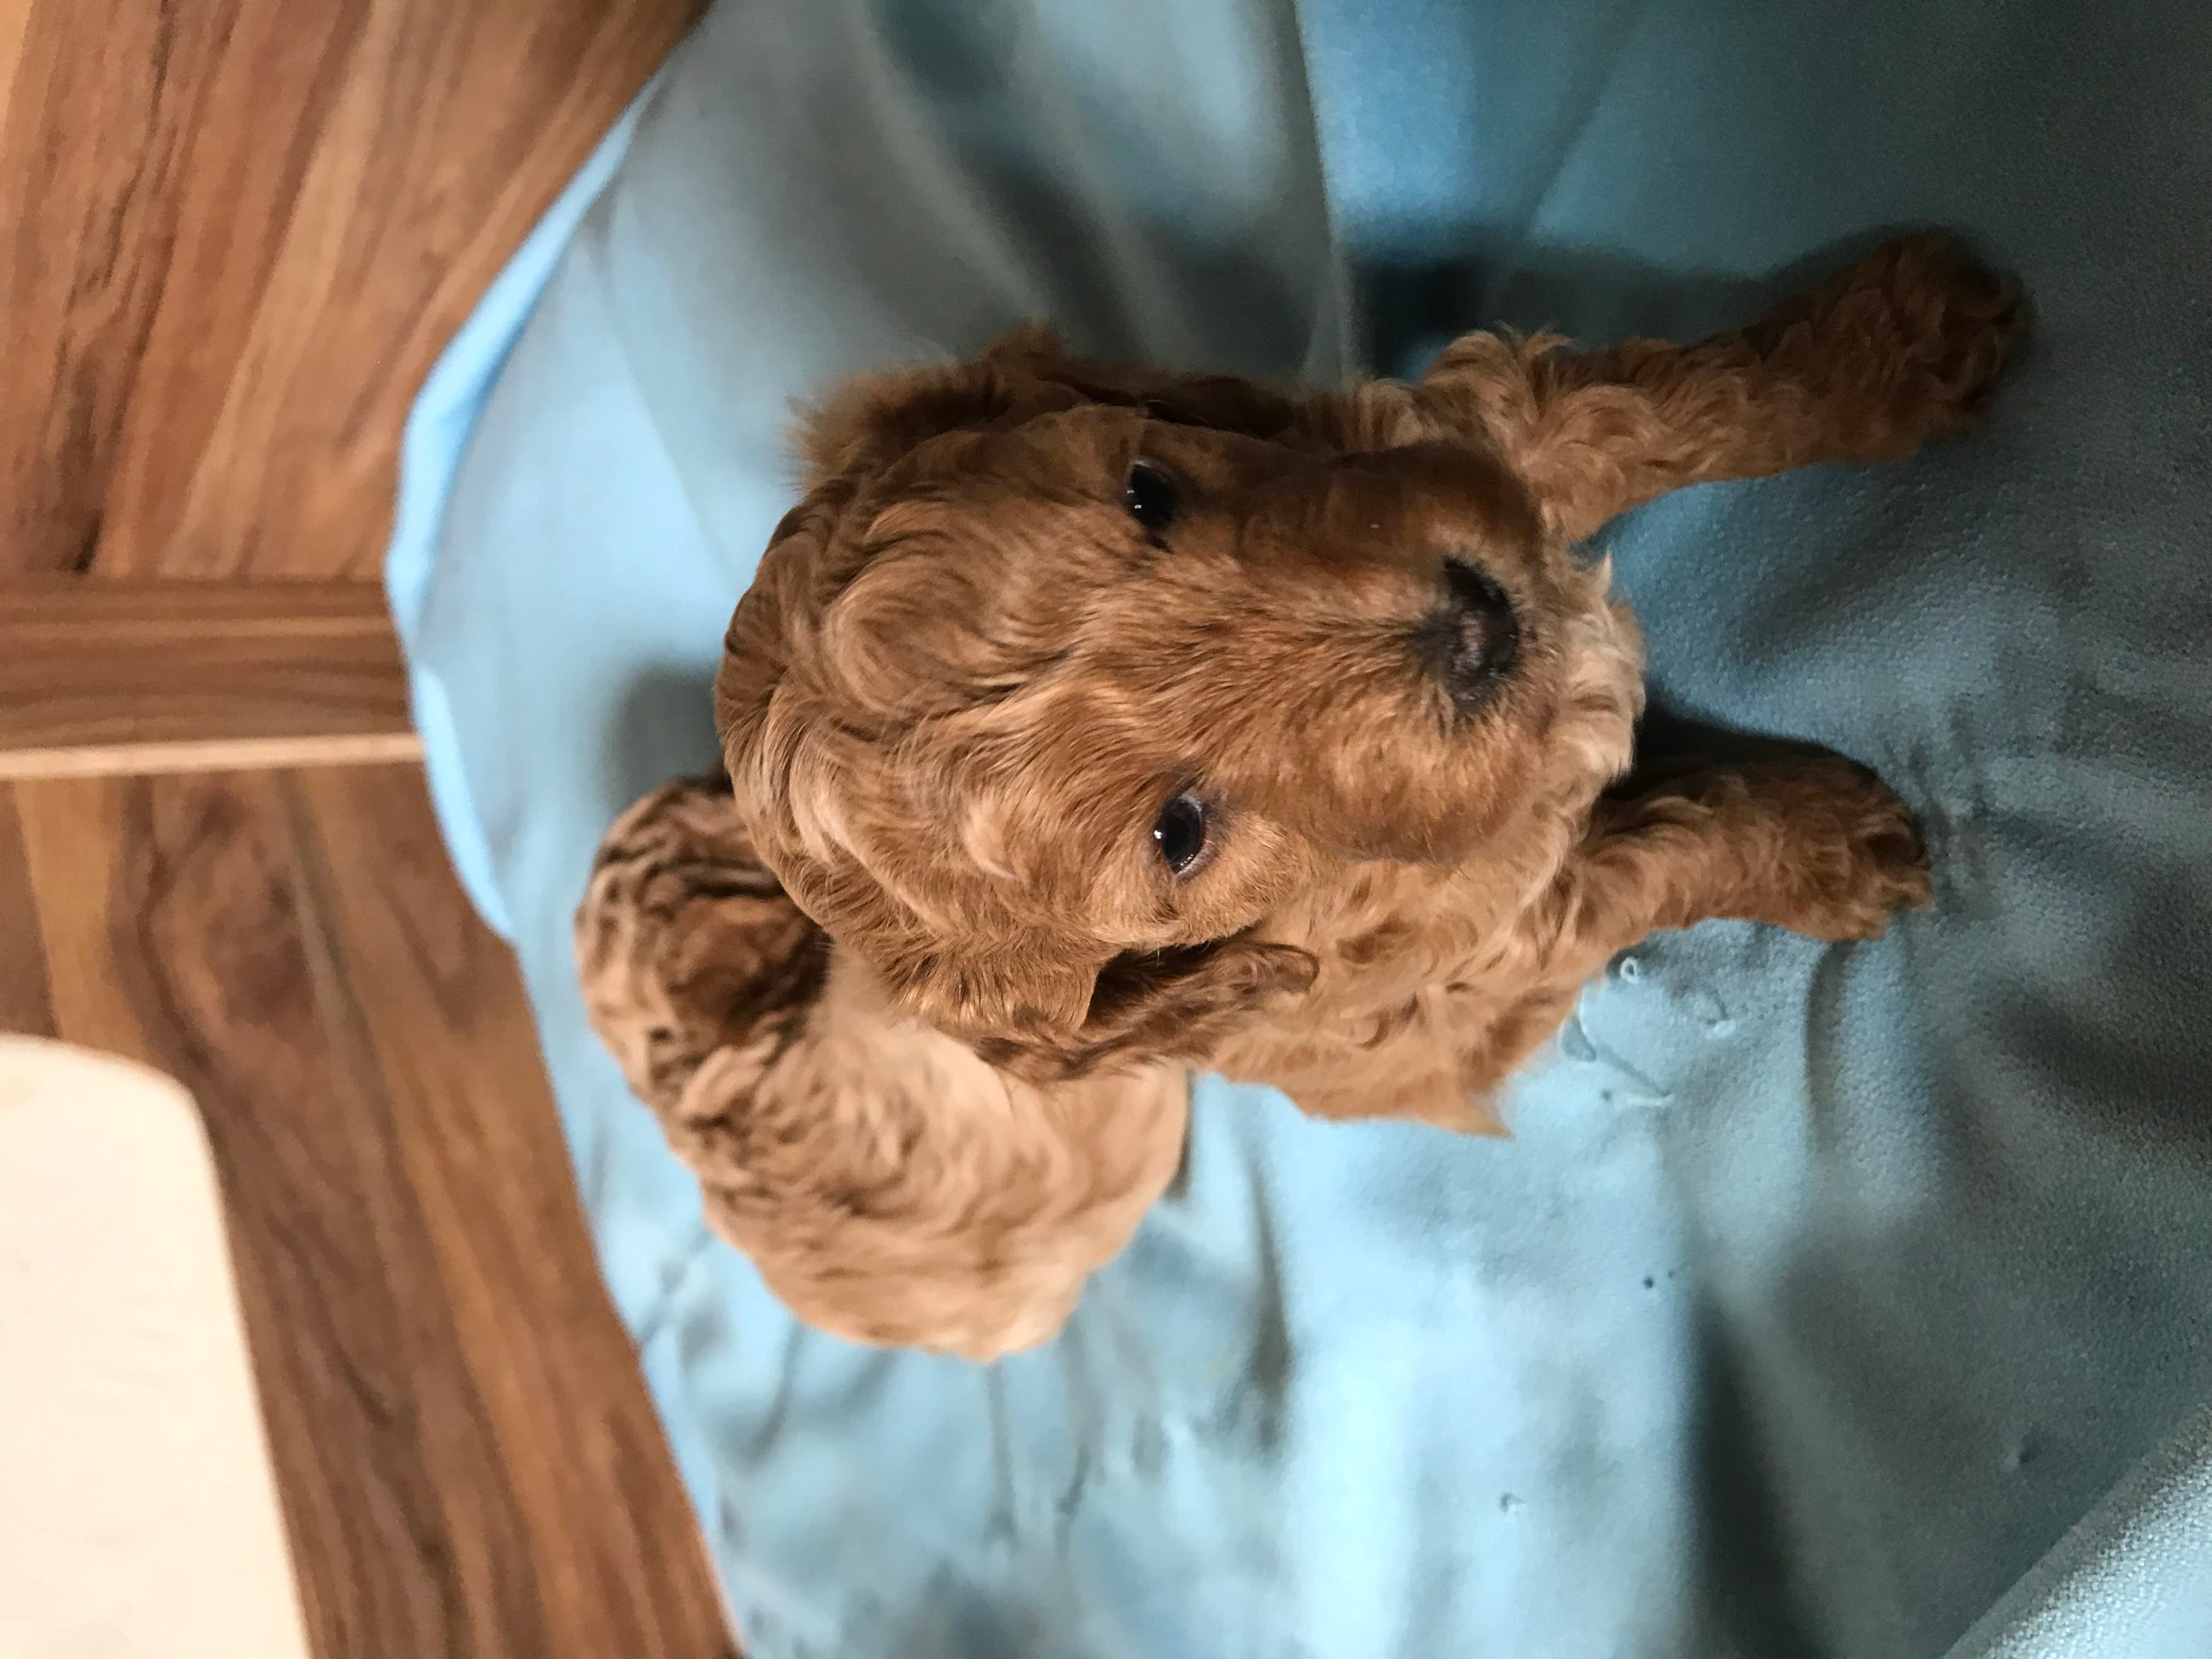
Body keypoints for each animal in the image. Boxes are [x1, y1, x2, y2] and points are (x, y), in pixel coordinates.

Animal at [578, 233, 2022, 1359]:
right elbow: (1662, 849)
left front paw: (1897, 346)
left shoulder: (1424, 444)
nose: (1480, 625)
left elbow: (1646, 411)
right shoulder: (1451, 986)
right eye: (1179, 831)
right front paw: (1834, 848)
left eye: (1150, 494)